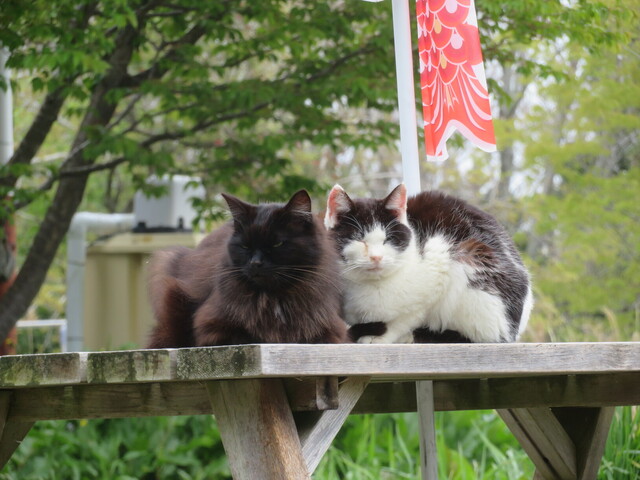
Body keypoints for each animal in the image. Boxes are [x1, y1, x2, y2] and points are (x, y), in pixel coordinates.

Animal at [147, 189, 348, 348]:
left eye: (277, 244)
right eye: (245, 246)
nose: (255, 263)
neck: (275, 297)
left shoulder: (333, 330)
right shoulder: (210, 327)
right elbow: (247, 335)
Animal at [324, 183, 533, 344]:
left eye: (388, 239)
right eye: (359, 239)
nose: (376, 257)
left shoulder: (438, 263)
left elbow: (405, 319)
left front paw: (381, 337)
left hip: (473, 268)